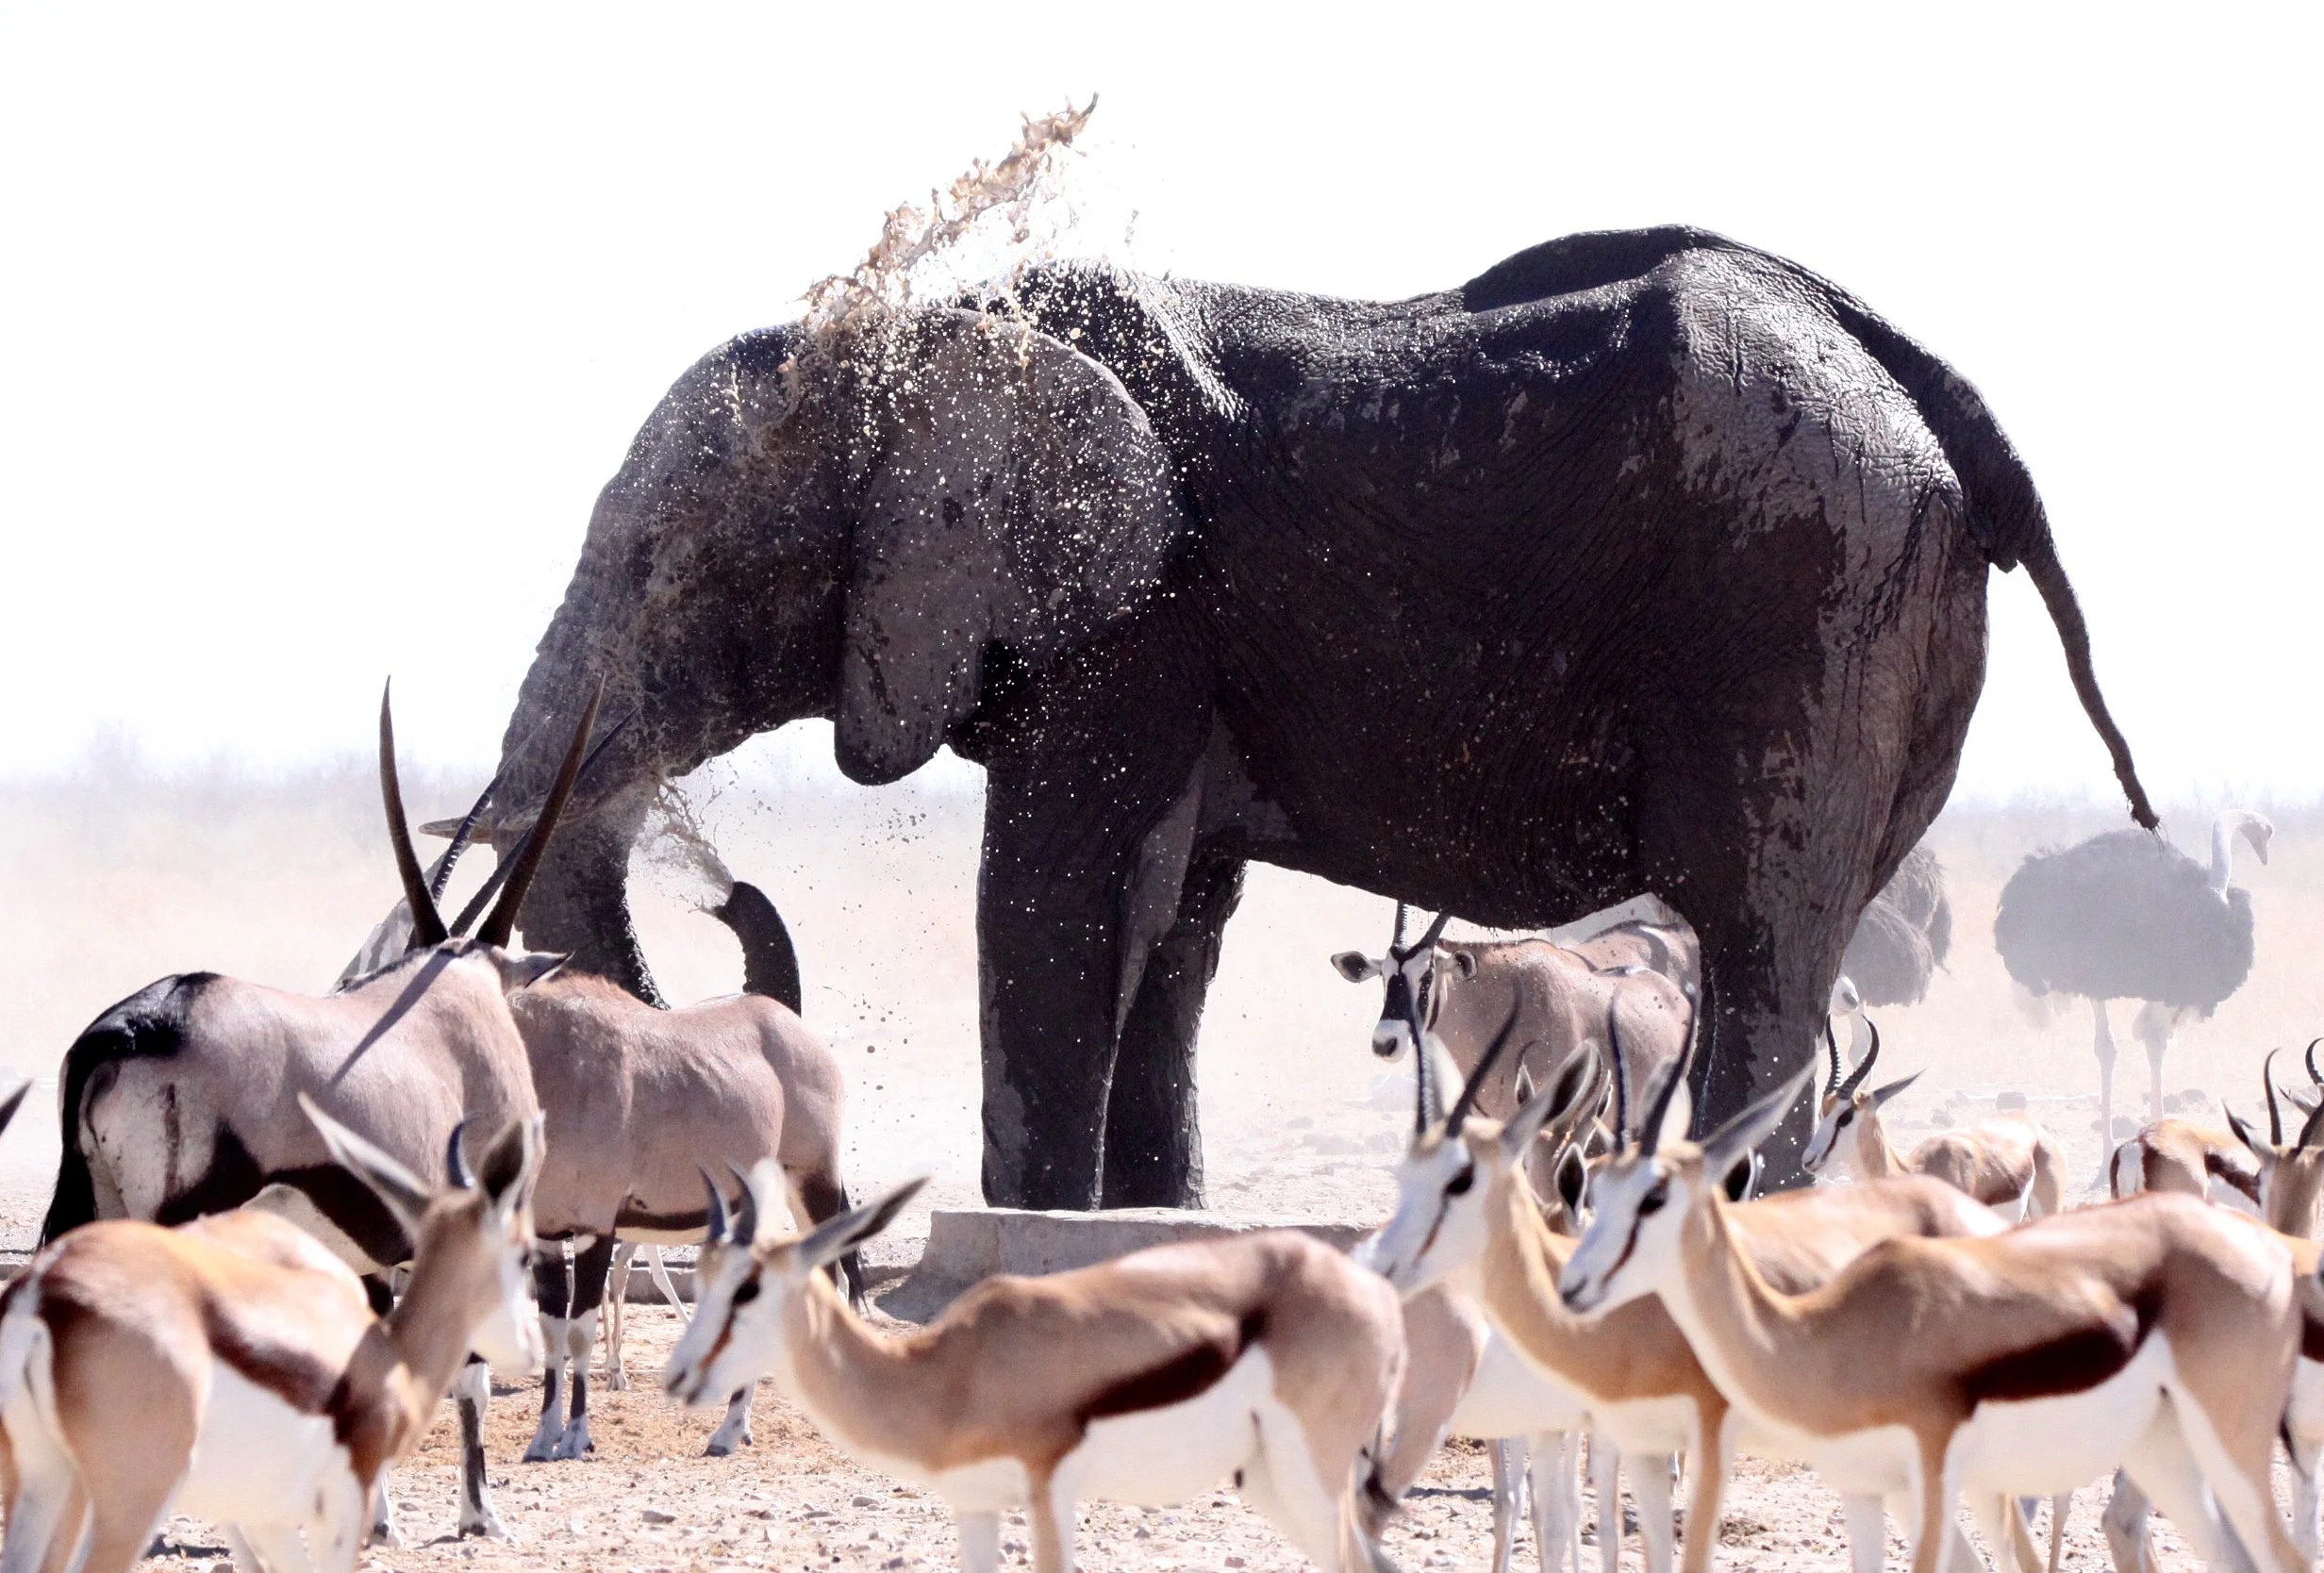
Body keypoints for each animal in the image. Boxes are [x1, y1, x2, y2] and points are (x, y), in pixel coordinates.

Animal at [478, 224, 2153, 1207]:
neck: (930, 328)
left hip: (1803, 596)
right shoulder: (1175, 654)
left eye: (665, 567)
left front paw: (1027, 1238)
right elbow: (1167, 927)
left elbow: (1066, 900)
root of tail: (1935, 390)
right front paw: (1148, 1234)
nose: (721, 897)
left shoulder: (1140, 617)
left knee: (1761, 944)